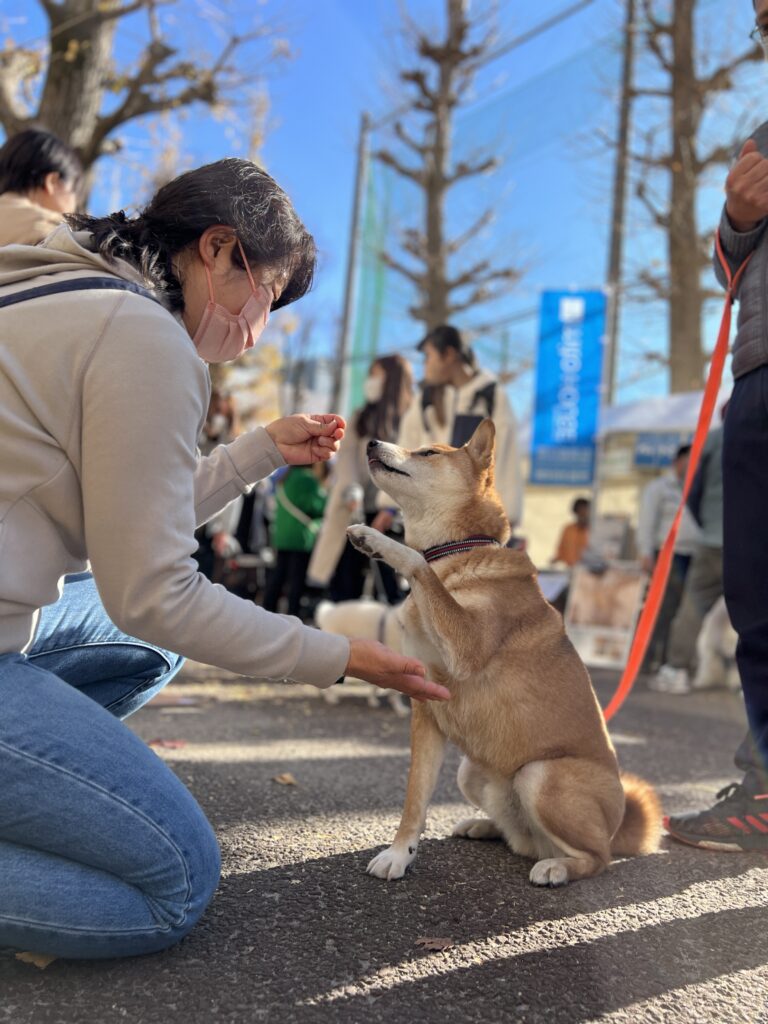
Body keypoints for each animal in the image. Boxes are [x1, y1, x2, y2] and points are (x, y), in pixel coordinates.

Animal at [348, 419, 663, 884]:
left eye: (428, 452)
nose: (370, 441)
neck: (457, 552)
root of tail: (617, 824)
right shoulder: (426, 708)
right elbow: (414, 801)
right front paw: (400, 854)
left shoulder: (467, 644)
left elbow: (418, 563)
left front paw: (376, 539)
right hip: (471, 772)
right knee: (523, 838)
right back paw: (484, 826)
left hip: (540, 775)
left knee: (597, 858)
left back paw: (559, 867)